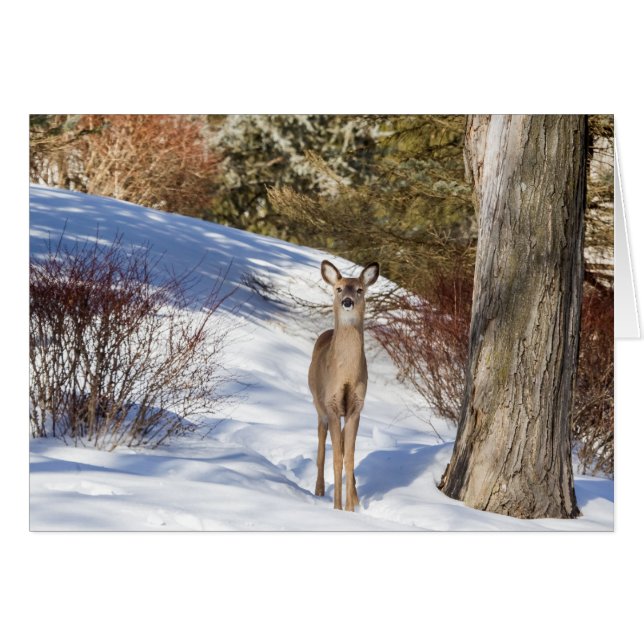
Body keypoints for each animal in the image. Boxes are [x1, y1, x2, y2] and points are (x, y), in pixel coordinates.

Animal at [308, 259, 380, 511]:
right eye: (339, 288)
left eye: (359, 289)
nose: (347, 301)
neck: (346, 376)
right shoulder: (331, 404)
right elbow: (337, 459)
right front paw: (337, 508)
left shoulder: (355, 407)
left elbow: (349, 457)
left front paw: (350, 508)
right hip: (319, 406)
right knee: (321, 445)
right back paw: (319, 490)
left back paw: (355, 496)